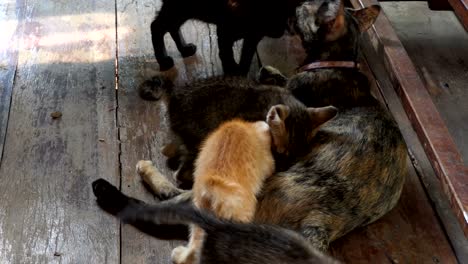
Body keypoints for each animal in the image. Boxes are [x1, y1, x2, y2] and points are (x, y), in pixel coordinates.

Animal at [152, 0, 342, 75]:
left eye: (287, 17)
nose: (279, 32)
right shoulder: (225, 31)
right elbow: (227, 56)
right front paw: (232, 73)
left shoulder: (253, 36)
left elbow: (246, 57)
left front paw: (241, 73)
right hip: (180, 8)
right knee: (156, 26)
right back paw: (163, 60)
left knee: (171, 27)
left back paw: (184, 49)